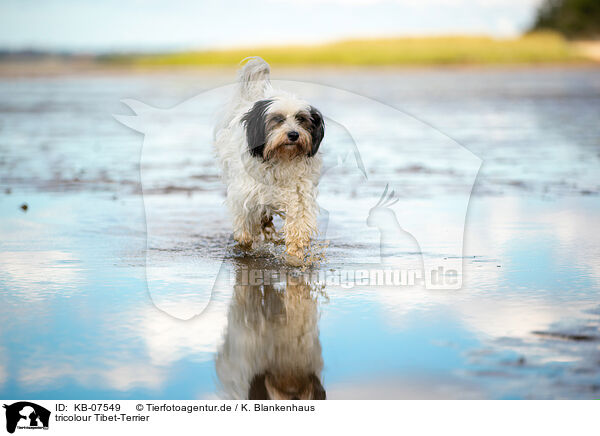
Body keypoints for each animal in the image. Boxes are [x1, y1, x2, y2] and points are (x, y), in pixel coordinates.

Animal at [212, 56, 324, 264]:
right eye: (278, 119)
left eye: (301, 119)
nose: (293, 134)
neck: (280, 158)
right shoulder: (246, 191)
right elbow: (245, 222)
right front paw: (246, 241)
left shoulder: (299, 191)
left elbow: (299, 219)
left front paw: (295, 251)